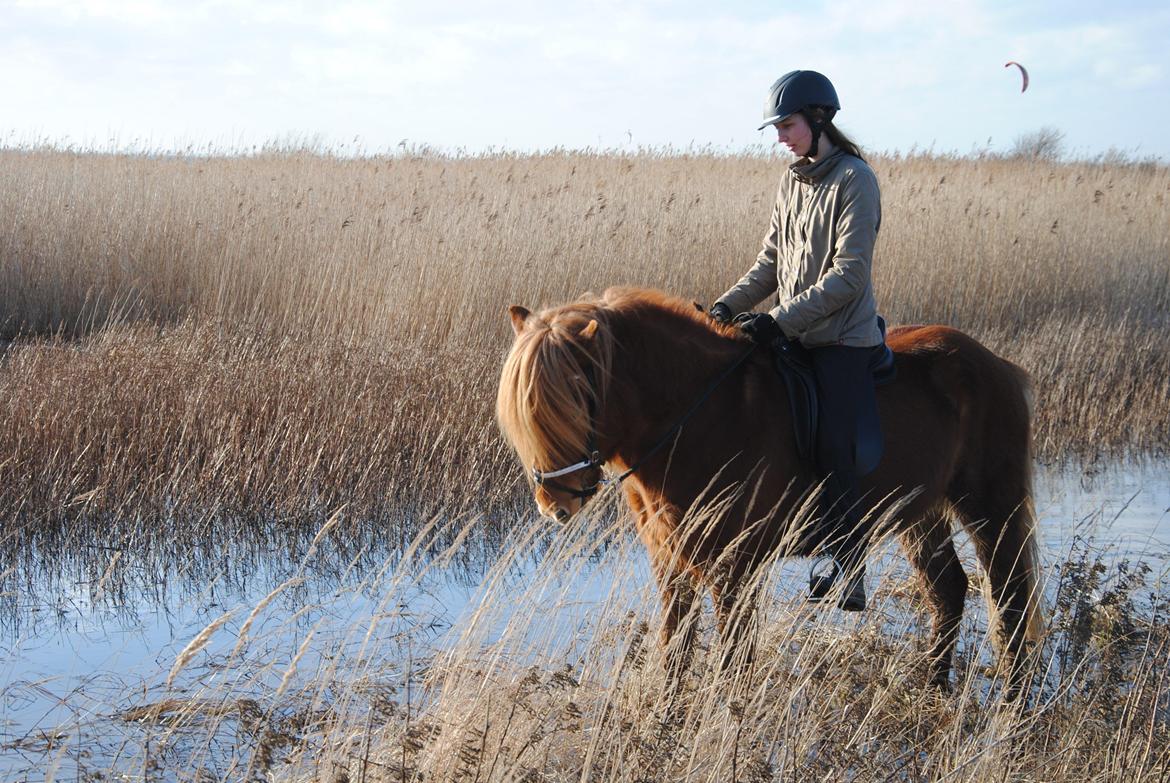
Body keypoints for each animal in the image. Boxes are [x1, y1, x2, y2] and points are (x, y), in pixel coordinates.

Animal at [493, 285, 1043, 688]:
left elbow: (732, 664)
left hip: (991, 507)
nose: (554, 504)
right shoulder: (672, 565)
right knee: (948, 590)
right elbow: (675, 655)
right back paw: (931, 689)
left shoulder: (734, 571)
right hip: (919, 514)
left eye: (575, 394)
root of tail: (994, 364)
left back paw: (1011, 707)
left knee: (1010, 601)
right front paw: (665, 727)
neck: (698, 414)